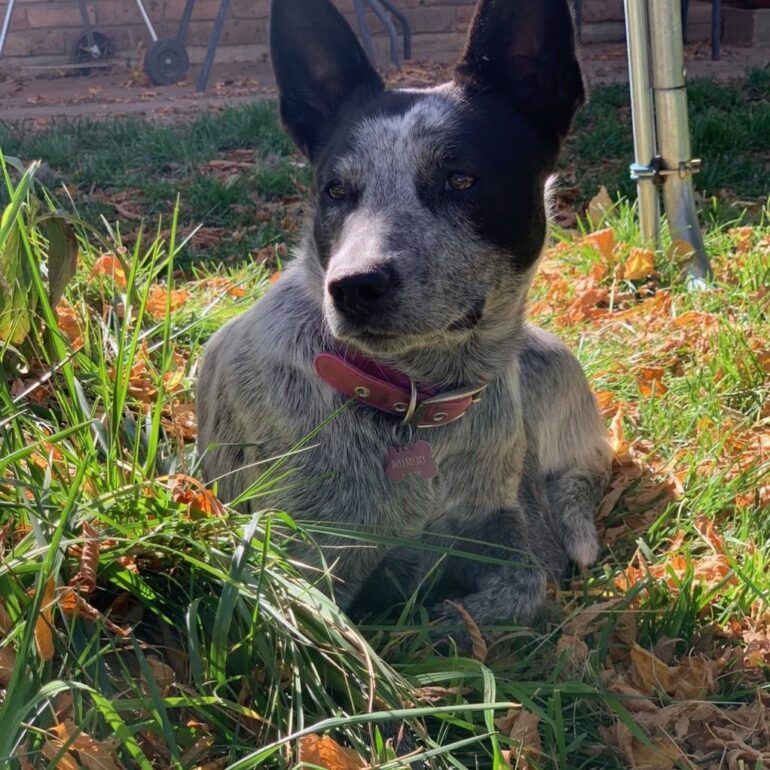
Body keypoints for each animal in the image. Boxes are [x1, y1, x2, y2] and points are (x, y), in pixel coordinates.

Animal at [196, 0, 612, 632]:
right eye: (335, 190)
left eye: (460, 179)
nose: (353, 286)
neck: (413, 400)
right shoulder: (293, 572)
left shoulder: (505, 526)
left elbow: (526, 582)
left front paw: (448, 621)